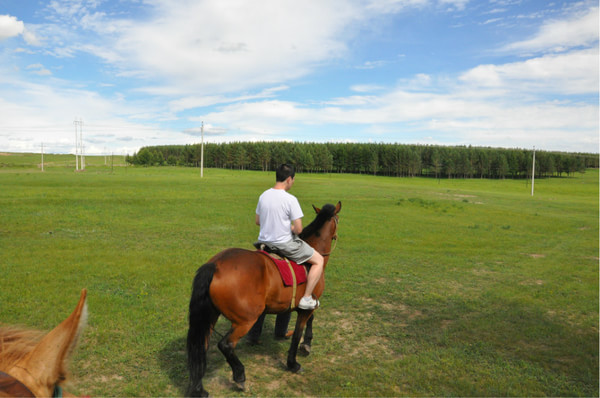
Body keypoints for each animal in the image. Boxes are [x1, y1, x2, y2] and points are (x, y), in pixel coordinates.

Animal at [185, 204, 340, 396]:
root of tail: (215, 265)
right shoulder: (308, 305)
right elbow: (298, 333)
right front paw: (293, 362)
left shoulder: (306, 304)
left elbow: (309, 322)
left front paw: (306, 344)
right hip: (245, 320)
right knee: (226, 345)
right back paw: (239, 376)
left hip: (211, 316)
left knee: (200, 346)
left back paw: (198, 388)